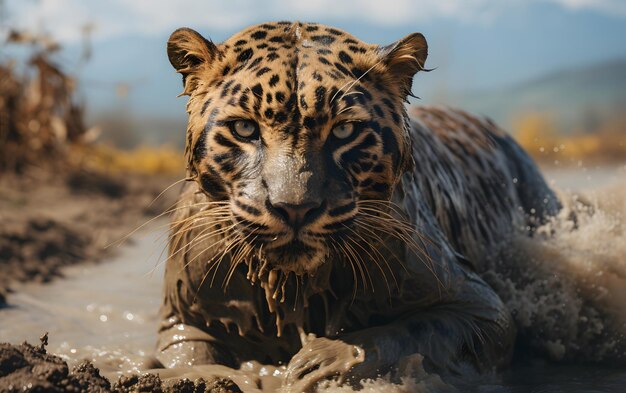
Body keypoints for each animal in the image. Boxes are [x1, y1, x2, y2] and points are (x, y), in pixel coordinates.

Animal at [156, 21, 560, 388]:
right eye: (244, 129)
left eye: (343, 131)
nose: (295, 208)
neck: (293, 289)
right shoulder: (183, 318)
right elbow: (192, 358)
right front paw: (232, 377)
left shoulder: (483, 308)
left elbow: (411, 332)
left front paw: (322, 361)